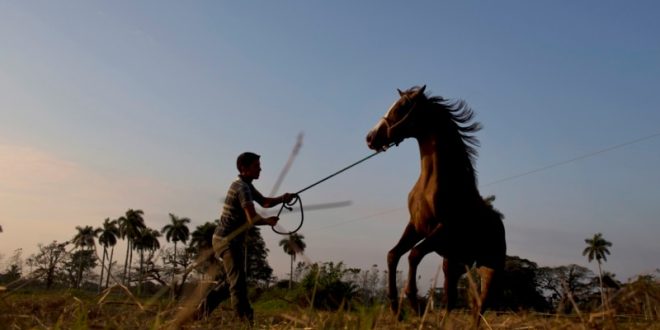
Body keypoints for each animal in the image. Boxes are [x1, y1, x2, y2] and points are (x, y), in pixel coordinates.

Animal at [366, 85, 506, 320]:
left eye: (402, 106)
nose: (370, 137)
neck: (431, 184)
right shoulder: (416, 226)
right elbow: (393, 255)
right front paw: (395, 308)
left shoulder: (442, 231)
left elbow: (414, 255)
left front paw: (414, 303)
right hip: (454, 263)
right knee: (453, 299)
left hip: (489, 269)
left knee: (479, 307)